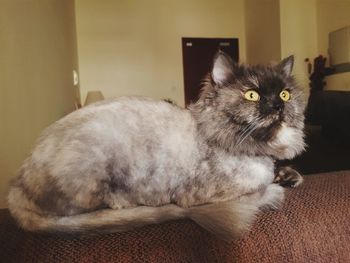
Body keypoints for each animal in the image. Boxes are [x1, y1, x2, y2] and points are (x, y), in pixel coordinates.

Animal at [6, 51, 304, 241]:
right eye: (252, 95)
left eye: (284, 94)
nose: (277, 106)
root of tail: (15, 187)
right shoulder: (205, 195)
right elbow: (258, 190)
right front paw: (276, 190)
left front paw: (290, 175)